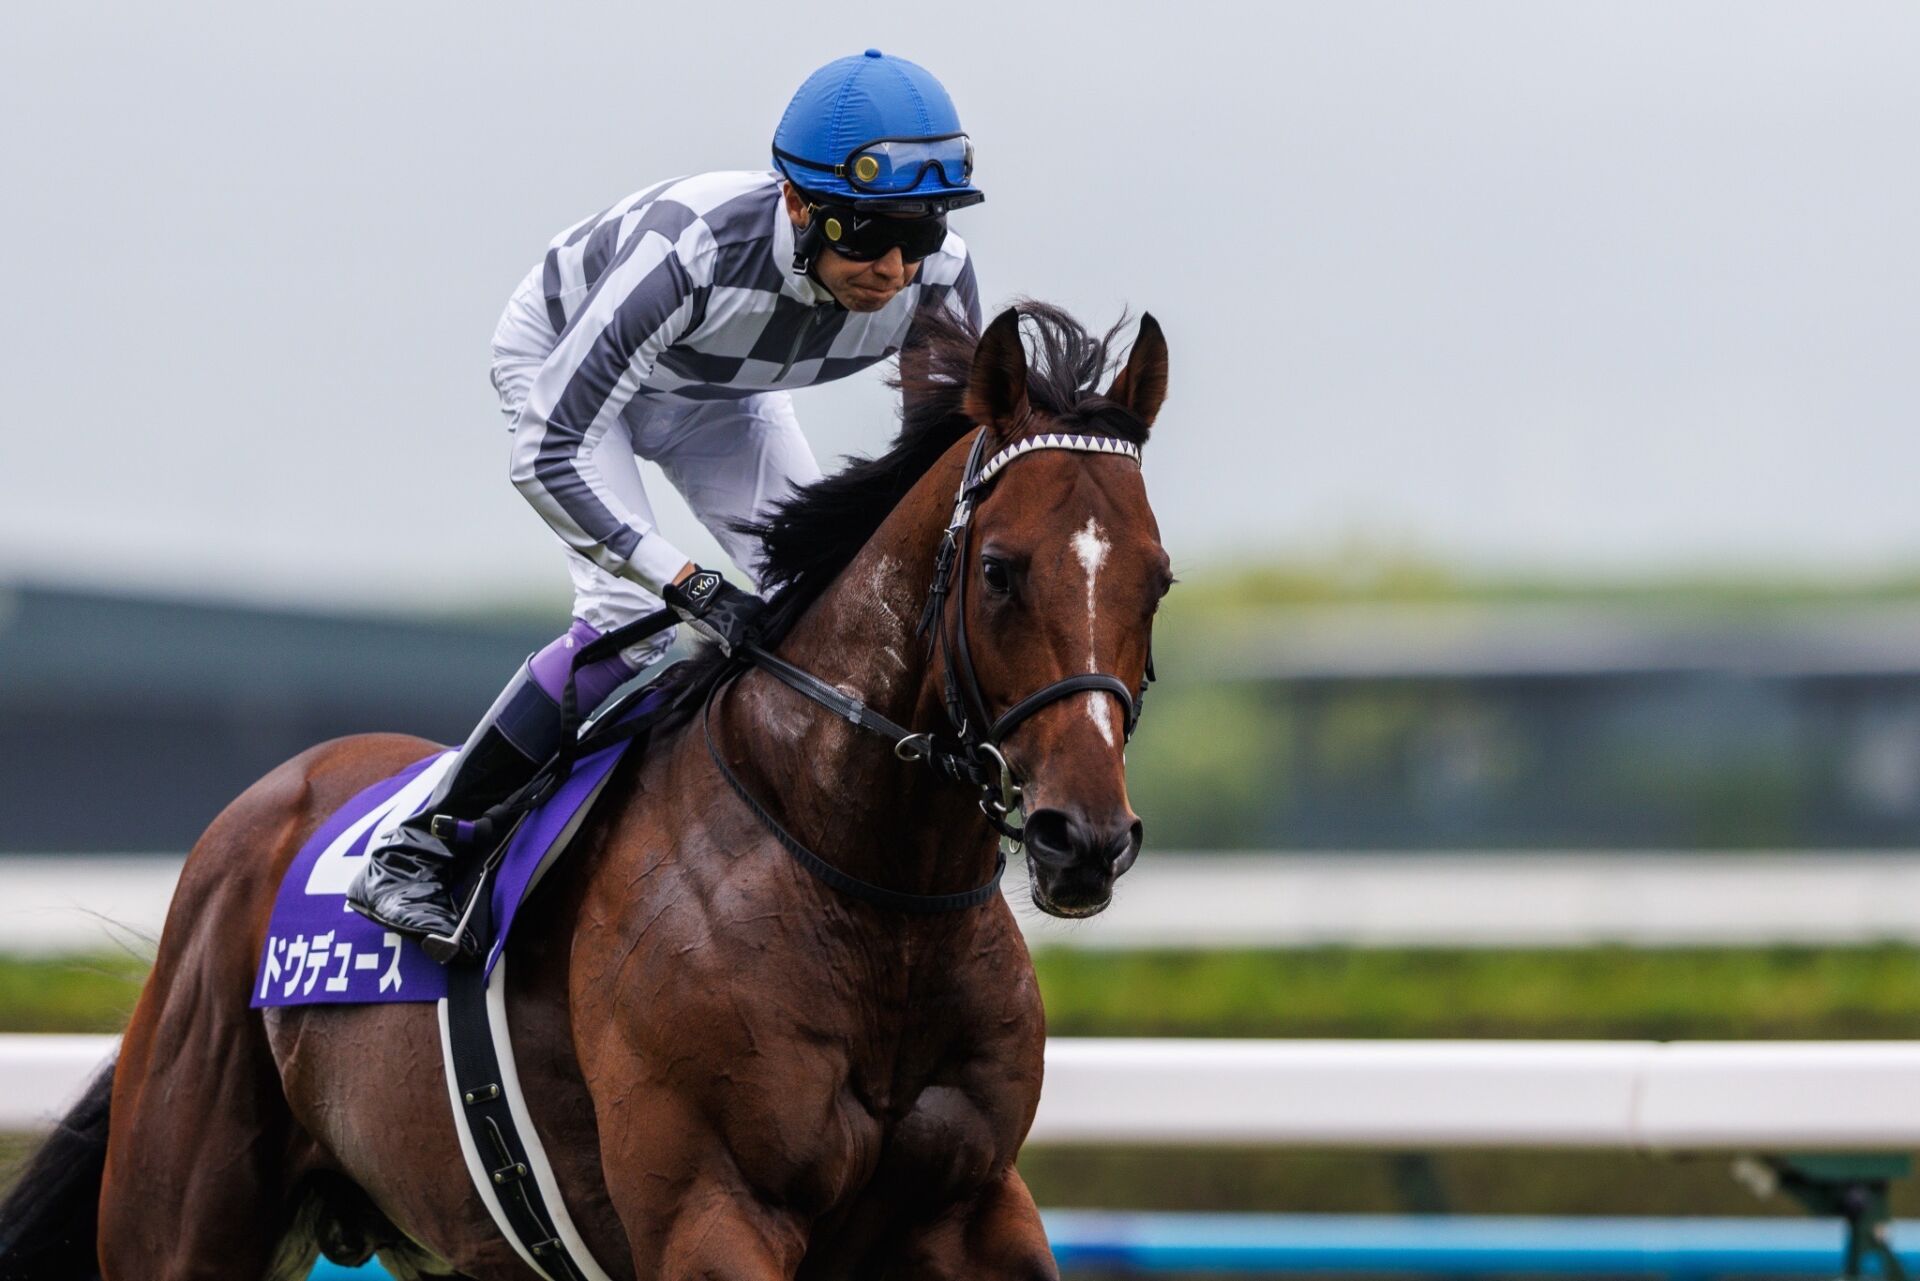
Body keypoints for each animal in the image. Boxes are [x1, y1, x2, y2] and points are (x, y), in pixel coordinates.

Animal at [0, 301, 1171, 1281]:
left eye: (1157, 579)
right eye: (1001, 570)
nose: (1083, 838)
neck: (871, 890)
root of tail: (260, 810)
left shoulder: (974, 1208)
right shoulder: (713, 1214)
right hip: (181, 1217)